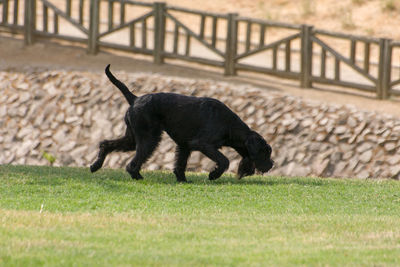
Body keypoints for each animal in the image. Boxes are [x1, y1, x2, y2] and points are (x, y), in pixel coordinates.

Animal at [90, 65, 276, 182]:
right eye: (265, 151)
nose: (271, 165)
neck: (230, 125)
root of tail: (134, 99)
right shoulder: (203, 144)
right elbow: (224, 160)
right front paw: (213, 175)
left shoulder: (184, 145)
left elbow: (180, 164)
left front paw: (183, 180)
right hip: (149, 139)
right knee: (133, 162)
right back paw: (137, 176)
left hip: (132, 138)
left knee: (106, 144)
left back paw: (95, 166)